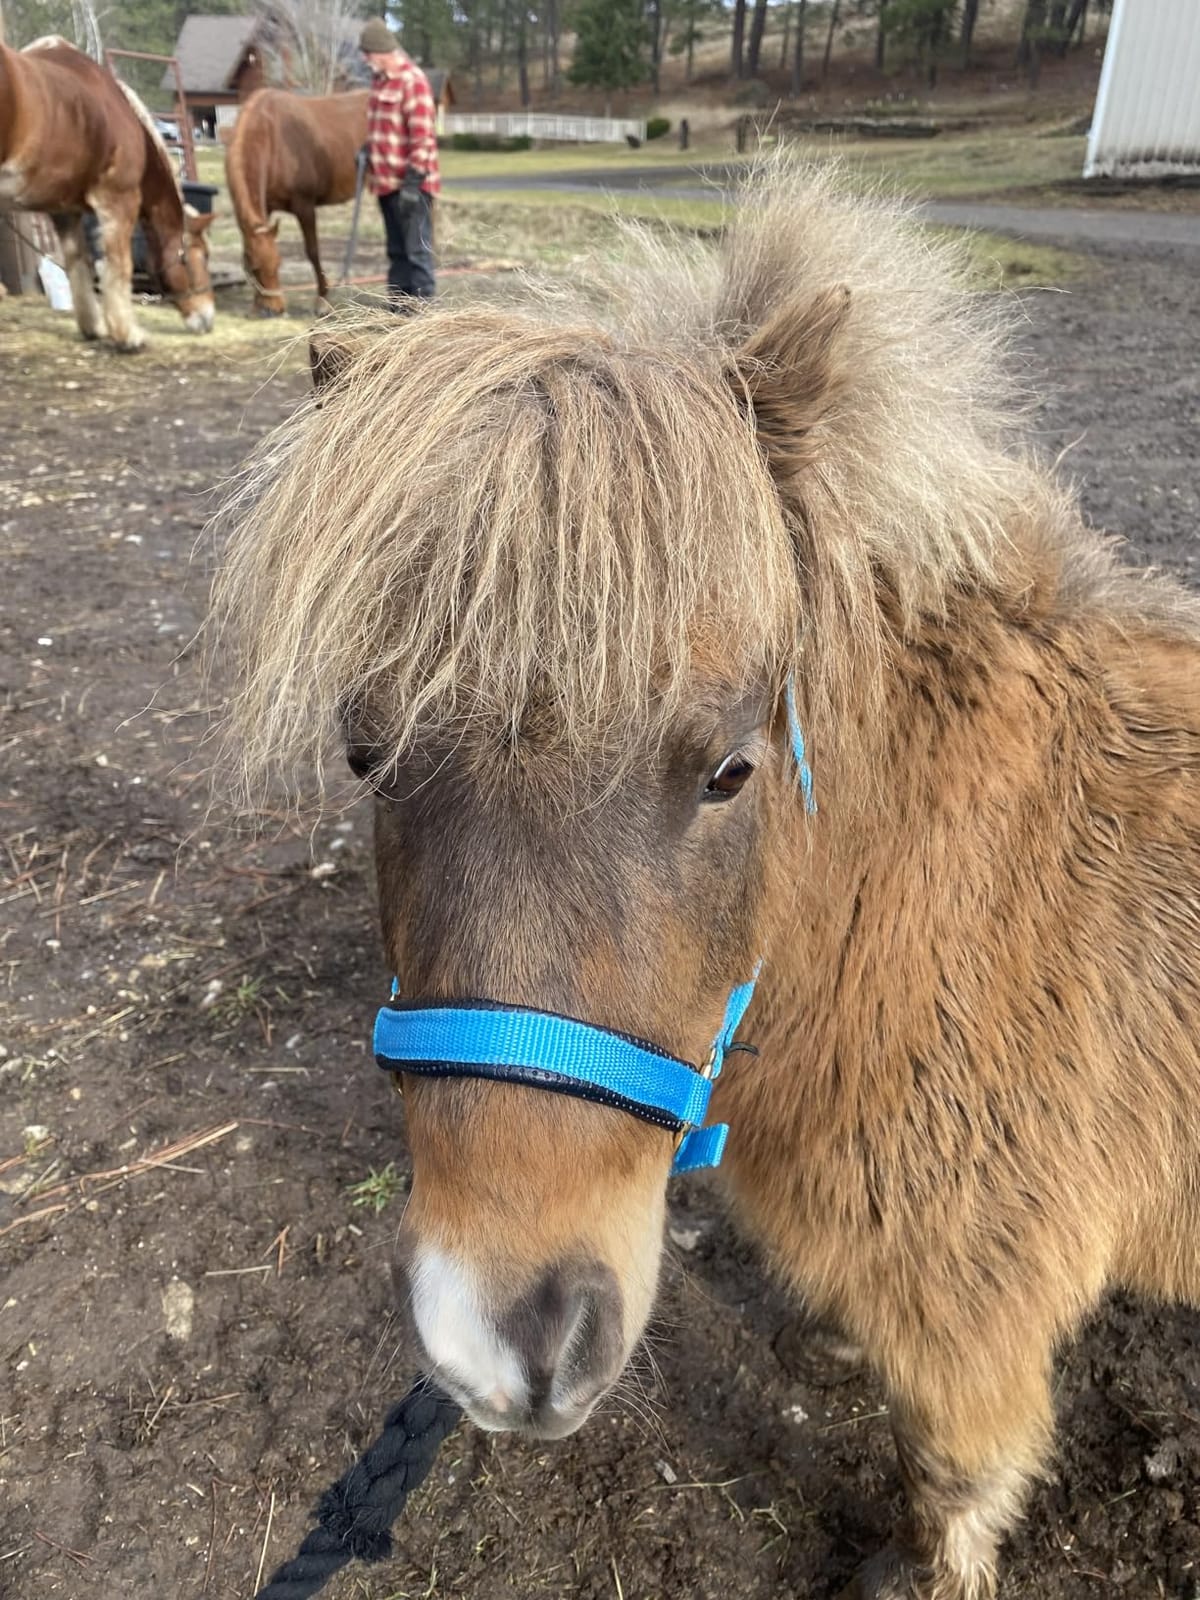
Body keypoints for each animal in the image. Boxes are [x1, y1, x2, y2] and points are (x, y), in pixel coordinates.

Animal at [0, 37, 214, 350]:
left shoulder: (65, 211)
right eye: (202, 256)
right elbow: (119, 266)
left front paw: (93, 328)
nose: (208, 318)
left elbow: (79, 264)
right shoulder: (118, 201)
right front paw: (128, 336)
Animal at [225, 87, 368, 317]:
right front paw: (256, 304)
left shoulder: (305, 206)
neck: (271, 137)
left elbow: (313, 251)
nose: (274, 310)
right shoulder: (266, 208)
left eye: (279, 263)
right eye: (255, 269)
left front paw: (322, 301)